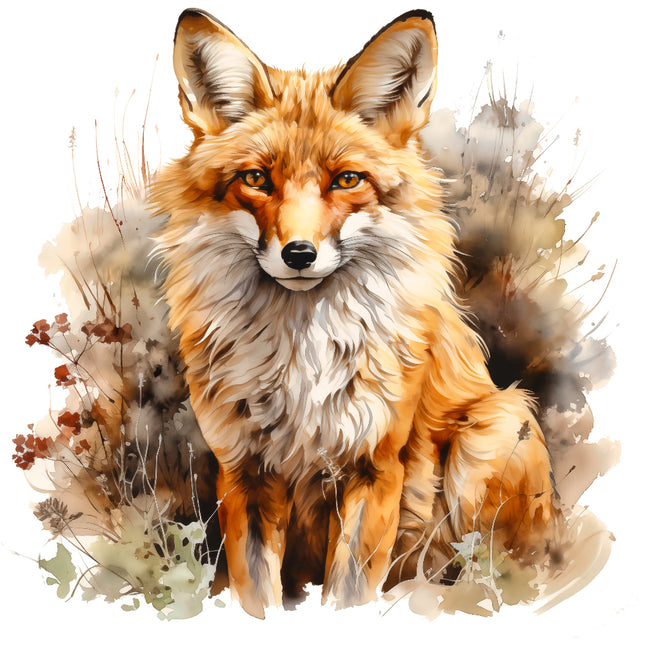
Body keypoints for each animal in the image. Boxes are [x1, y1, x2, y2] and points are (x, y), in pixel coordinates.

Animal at [151, 8, 556, 617]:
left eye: (346, 180)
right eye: (256, 179)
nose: (299, 254)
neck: (301, 363)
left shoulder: (376, 468)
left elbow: (349, 594)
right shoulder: (243, 473)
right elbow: (257, 595)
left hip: (495, 427)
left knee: (497, 576)